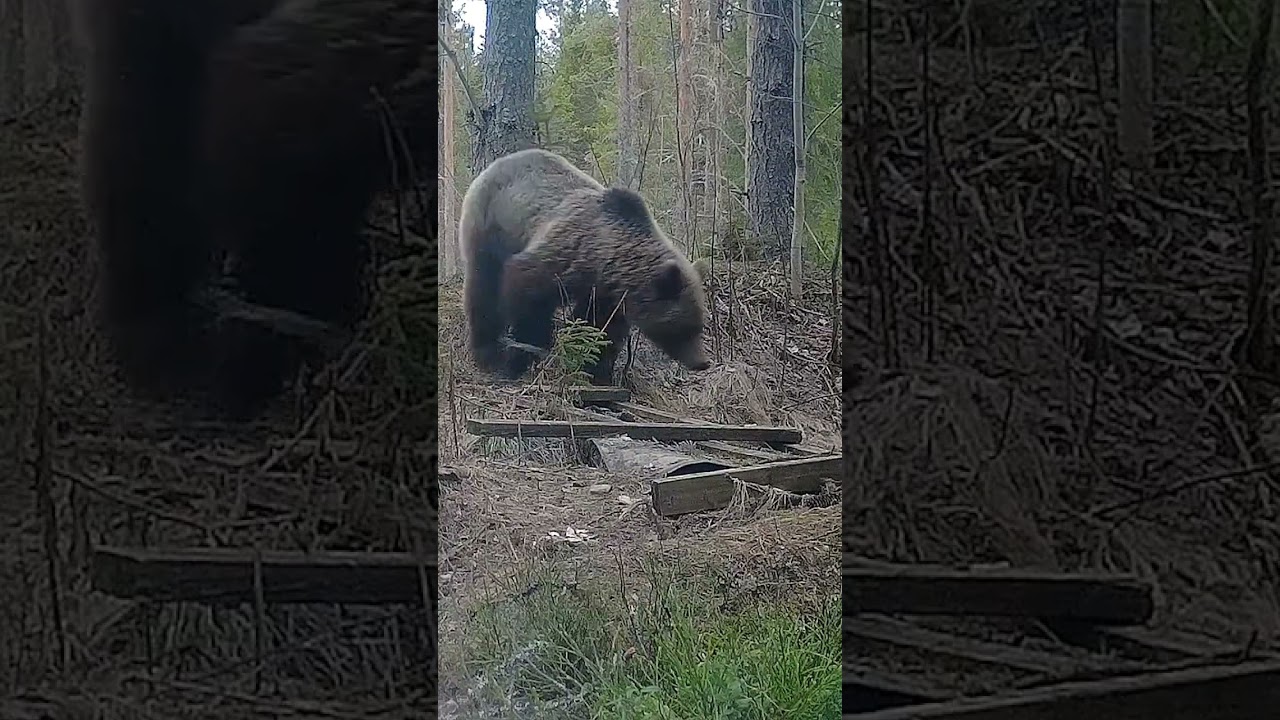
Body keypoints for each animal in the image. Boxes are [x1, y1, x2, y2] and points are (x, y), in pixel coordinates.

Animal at [459, 148, 712, 386]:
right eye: (685, 327)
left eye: (700, 323)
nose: (702, 362)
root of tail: (497, 164)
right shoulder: (565, 256)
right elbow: (526, 297)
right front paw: (521, 357)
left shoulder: (605, 295)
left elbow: (596, 328)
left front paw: (595, 369)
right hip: (490, 225)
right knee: (483, 286)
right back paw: (487, 351)